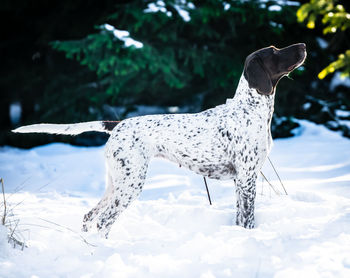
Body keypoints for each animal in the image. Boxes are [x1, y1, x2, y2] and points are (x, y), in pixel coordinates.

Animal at [13, 43, 306, 237]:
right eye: (275, 51)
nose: (303, 45)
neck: (250, 109)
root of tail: (118, 125)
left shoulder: (241, 180)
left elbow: (239, 217)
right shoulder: (246, 177)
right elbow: (247, 219)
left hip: (116, 183)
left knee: (90, 216)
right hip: (130, 183)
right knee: (104, 220)